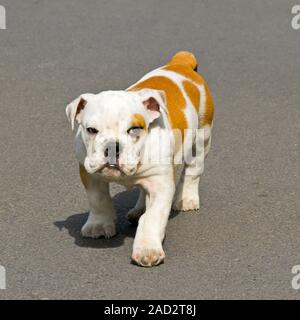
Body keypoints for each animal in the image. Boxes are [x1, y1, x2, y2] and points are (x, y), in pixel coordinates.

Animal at [67, 52, 214, 268]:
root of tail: (181, 62)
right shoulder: (89, 173)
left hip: (203, 136)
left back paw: (186, 198)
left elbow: (153, 218)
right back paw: (138, 209)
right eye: (91, 130)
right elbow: (98, 200)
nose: (112, 146)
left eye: (134, 129)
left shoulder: (161, 184)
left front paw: (147, 250)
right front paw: (99, 226)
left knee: (193, 170)